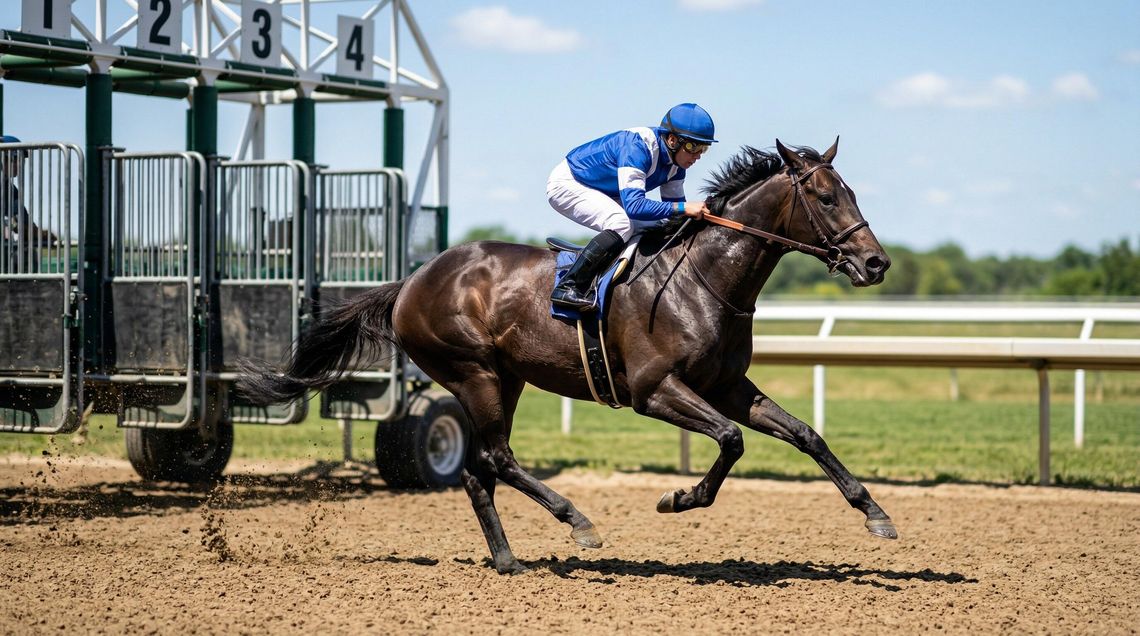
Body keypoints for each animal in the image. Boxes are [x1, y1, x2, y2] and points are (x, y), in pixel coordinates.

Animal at [239, 138, 895, 574]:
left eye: (849, 191)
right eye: (824, 196)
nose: (876, 262)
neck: (702, 281)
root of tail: (410, 281)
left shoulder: (727, 386)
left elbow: (805, 434)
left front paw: (875, 513)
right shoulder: (654, 390)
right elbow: (731, 441)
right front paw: (678, 498)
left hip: (504, 379)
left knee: (479, 470)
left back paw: (508, 560)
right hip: (474, 372)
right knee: (498, 458)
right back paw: (578, 522)